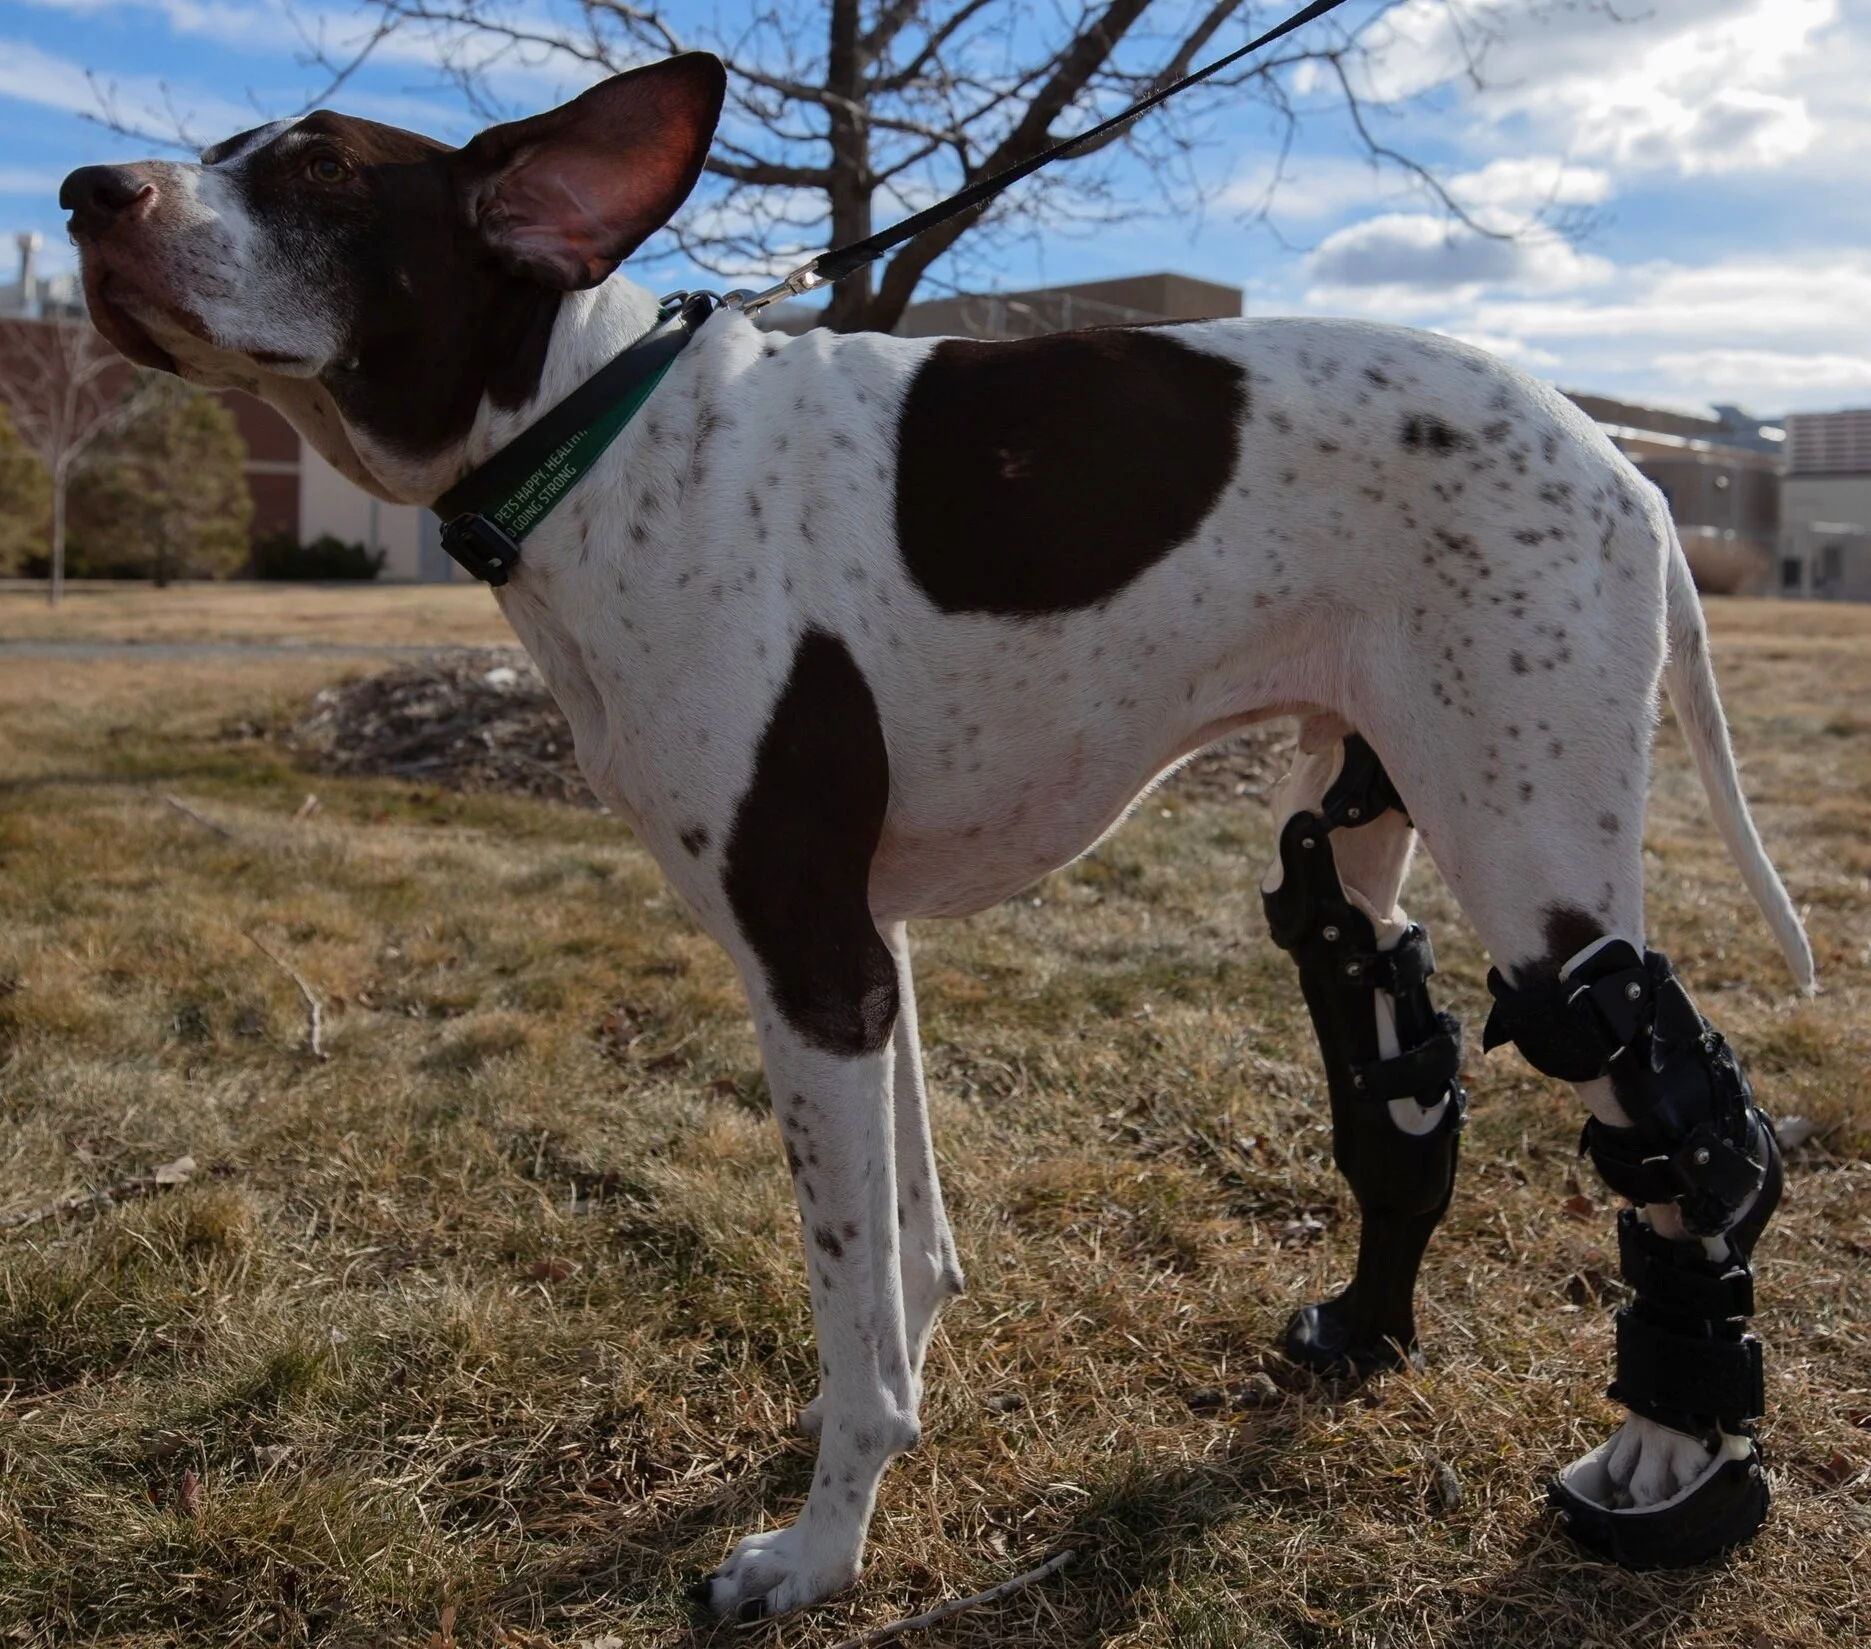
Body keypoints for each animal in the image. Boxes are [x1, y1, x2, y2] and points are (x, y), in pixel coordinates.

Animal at [62, 51, 1813, 1614]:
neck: (605, 442)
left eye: (320, 174)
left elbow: (848, 1289)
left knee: (1681, 1131)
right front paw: (889, 1400)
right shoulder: (869, 953)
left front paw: (821, 1546)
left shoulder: (810, 968)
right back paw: (1369, 1332)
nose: (84, 193)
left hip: (1538, 874)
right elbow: (903, 1245)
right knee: (1392, 1056)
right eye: (220, 151)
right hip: (1368, 832)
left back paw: (1673, 1460)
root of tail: (1630, 471)